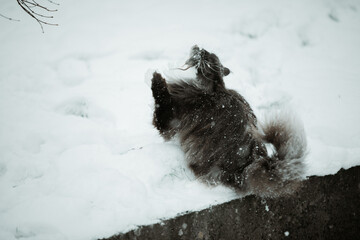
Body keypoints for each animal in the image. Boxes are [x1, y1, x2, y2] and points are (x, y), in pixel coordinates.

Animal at [149, 45, 306, 197]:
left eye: (208, 56)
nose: (200, 48)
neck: (213, 89)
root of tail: (246, 171)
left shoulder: (172, 117)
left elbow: (160, 101)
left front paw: (155, 78)